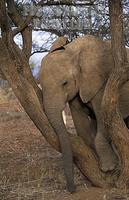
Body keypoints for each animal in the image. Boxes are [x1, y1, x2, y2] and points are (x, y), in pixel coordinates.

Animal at [39, 34, 129, 192]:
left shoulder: (102, 81)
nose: (72, 189)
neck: (73, 51)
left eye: (65, 83)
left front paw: (108, 168)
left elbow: (102, 116)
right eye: (41, 85)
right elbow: (81, 125)